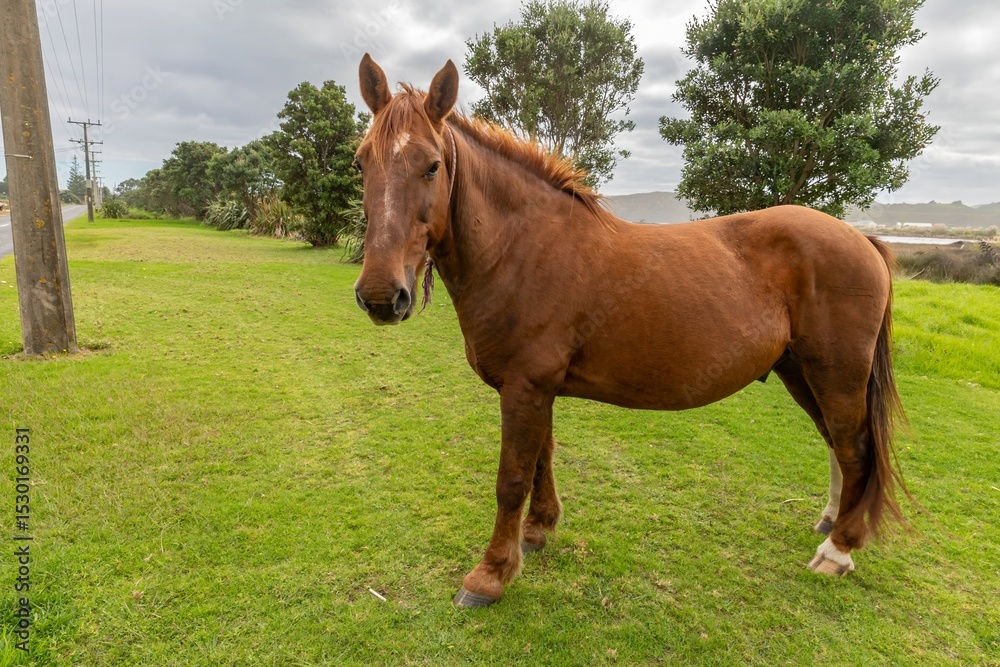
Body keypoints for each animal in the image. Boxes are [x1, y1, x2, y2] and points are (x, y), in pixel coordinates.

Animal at [352, 54, 907, 608]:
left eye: (432, 165)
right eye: (361, 163)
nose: (381, 295)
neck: (522, 248)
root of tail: (862, 238)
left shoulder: (524, 387)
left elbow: (512, 478)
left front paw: (489, 575)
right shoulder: (537, 388)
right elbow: (542, 459)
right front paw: (538, 531)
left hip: (838, 375)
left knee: (855, 448)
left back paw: (838, 550)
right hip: (800, 371)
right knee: (835, 443)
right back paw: (831, 522)